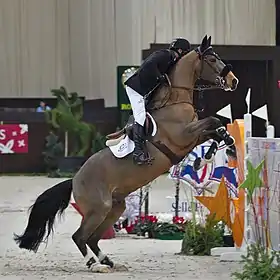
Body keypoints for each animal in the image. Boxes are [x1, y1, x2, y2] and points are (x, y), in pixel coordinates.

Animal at [14, 35, 238, 274]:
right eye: (212, 59)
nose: (234, 81)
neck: (175, 99)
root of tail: (74, 179)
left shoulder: (192, 137)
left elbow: (215, 127)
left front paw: (216, 151)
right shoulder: (183, 135)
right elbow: (213, 121)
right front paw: (211, 154)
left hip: (115, 207)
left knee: (92, 238)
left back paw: (110, 262)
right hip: (99, 208)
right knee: (80, 237)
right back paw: (95, 265)